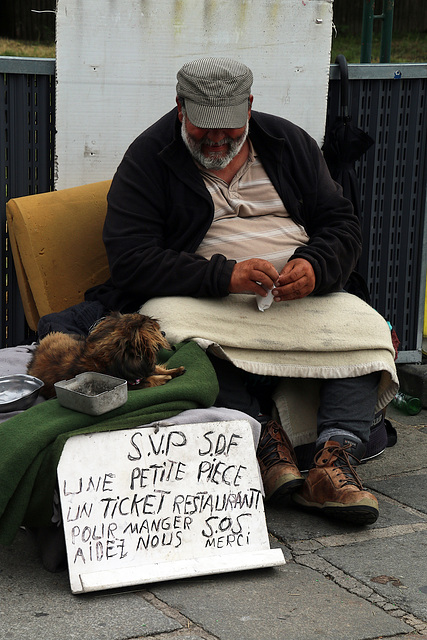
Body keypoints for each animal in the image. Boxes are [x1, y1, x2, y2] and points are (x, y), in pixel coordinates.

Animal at [28, 312, 186, 398]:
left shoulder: (146, 369)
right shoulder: (131, 384)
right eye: (156, 330)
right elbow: (151, 379)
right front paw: (164, 378)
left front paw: (175, 371)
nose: (164, 332)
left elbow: (158, 369)